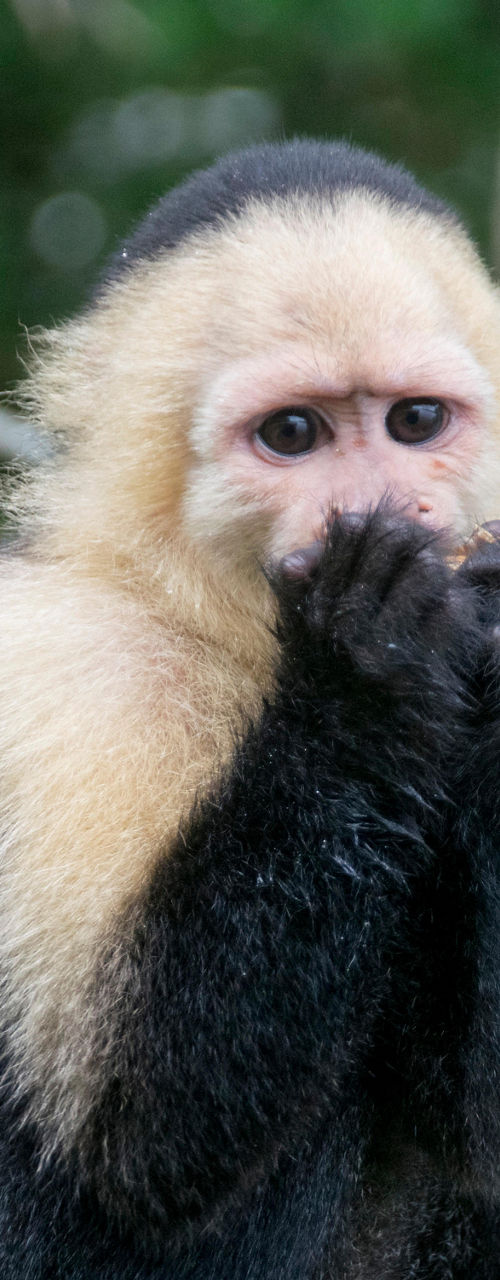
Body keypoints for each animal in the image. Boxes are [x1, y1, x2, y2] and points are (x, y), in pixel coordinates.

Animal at [1, 137, 500, 1276]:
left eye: (415, 422)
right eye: (292, 434)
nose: (380, 512)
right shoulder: (68, 667)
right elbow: (142, 1124)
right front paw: (371, 655)